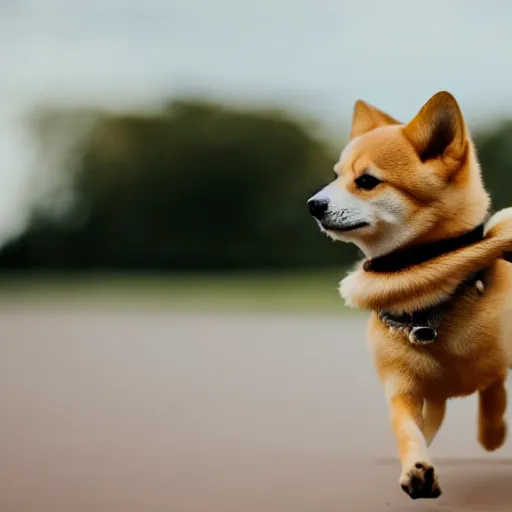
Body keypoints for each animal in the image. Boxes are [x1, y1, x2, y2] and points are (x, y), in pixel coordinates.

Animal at [308, 89, 512, 500]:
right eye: (337, 177)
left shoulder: (498, 361)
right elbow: (407, 430)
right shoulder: (404, 390)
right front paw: (415, 469)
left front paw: (493, 432)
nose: (313, 205)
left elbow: (494, 387)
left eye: (367, 181)